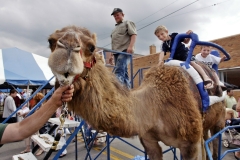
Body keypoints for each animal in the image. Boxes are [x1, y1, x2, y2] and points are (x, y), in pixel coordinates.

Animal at [47, 25, 226, 159]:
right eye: (50, 41)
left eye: (91, 47)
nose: (65, 54)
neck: (155, 104)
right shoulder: (149, 141)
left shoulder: (190, 144)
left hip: (219, 121)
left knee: (216, 143)